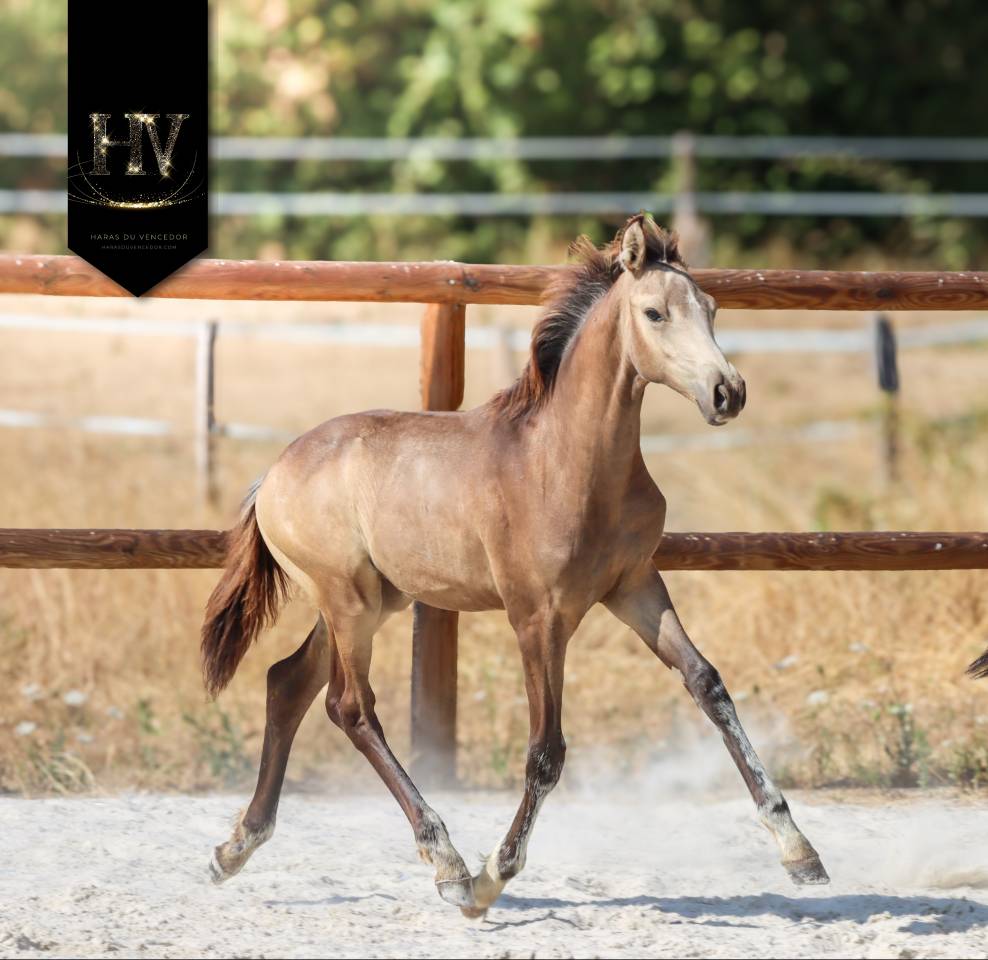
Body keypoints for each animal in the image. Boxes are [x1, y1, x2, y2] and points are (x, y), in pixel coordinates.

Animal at [202, 213, 829, 918]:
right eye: (654, 312)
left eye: (713, 309)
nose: (728, 392)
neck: (565, 464)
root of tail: (273, 474)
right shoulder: (538, 617)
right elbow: (546, 751)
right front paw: (491, 878)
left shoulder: (635, 586)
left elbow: (709, 685)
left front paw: (800, 851)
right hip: (350, 603)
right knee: (350, 707)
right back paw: (446, 863)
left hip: (373, 601)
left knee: (288, 683)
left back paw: (235, 848)